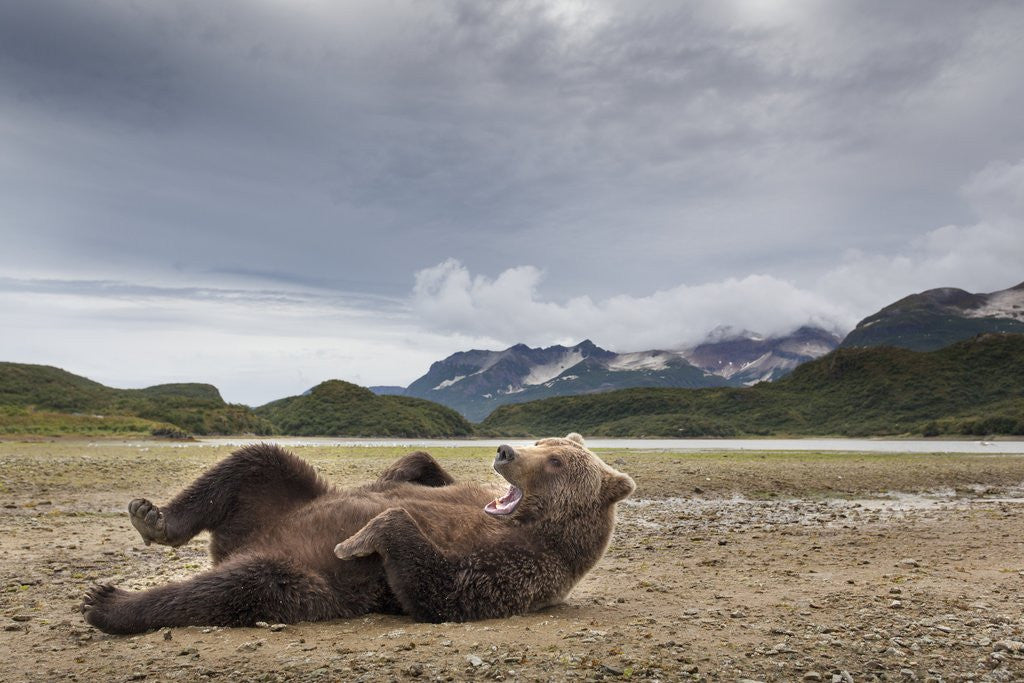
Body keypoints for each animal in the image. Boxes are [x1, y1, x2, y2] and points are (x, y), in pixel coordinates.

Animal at [81, 433, 635, 634]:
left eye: (557, 460)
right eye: (542, 441)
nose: (505, 451)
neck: (524, 522)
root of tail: (238, 545)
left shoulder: (526, 565)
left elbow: (445, 590)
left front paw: (361, 536)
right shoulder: (469, 496)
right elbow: (420, 468)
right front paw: (409, 473)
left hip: (304, 579)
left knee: (236, 586)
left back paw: (109, 602)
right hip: (274, 502)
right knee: (257, 459)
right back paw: (153, 517)